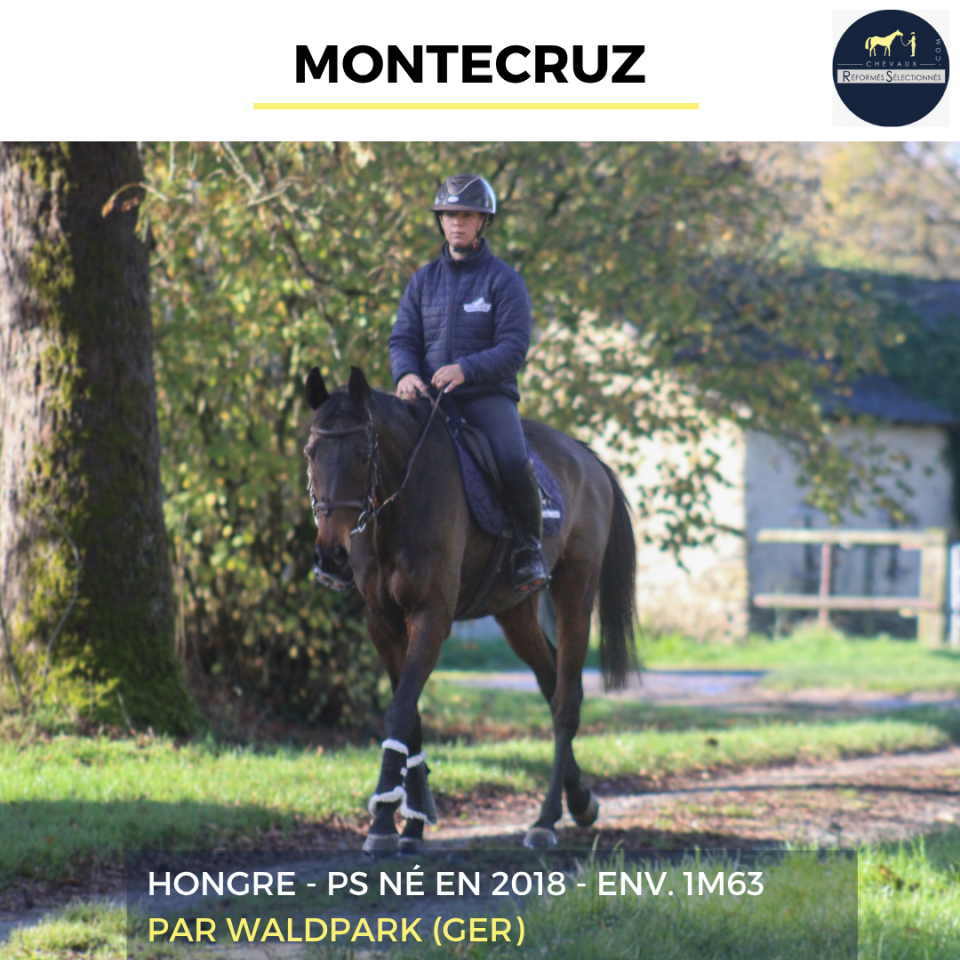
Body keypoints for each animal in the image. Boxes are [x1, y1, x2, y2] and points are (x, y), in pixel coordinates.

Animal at [304, 366, 636, 853]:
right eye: (311, 453)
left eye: (364, 454)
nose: (330, 558)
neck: (400, 505)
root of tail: (587, 459)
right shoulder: (383, 624)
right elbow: (410, 715)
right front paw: (413, 822)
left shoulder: (431, 618)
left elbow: (400, 711)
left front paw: (384, 822)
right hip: (516, 612)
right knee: (550, 678)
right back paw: (580, 800)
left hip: (575, 592)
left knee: (565, 700)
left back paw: (547, 819)